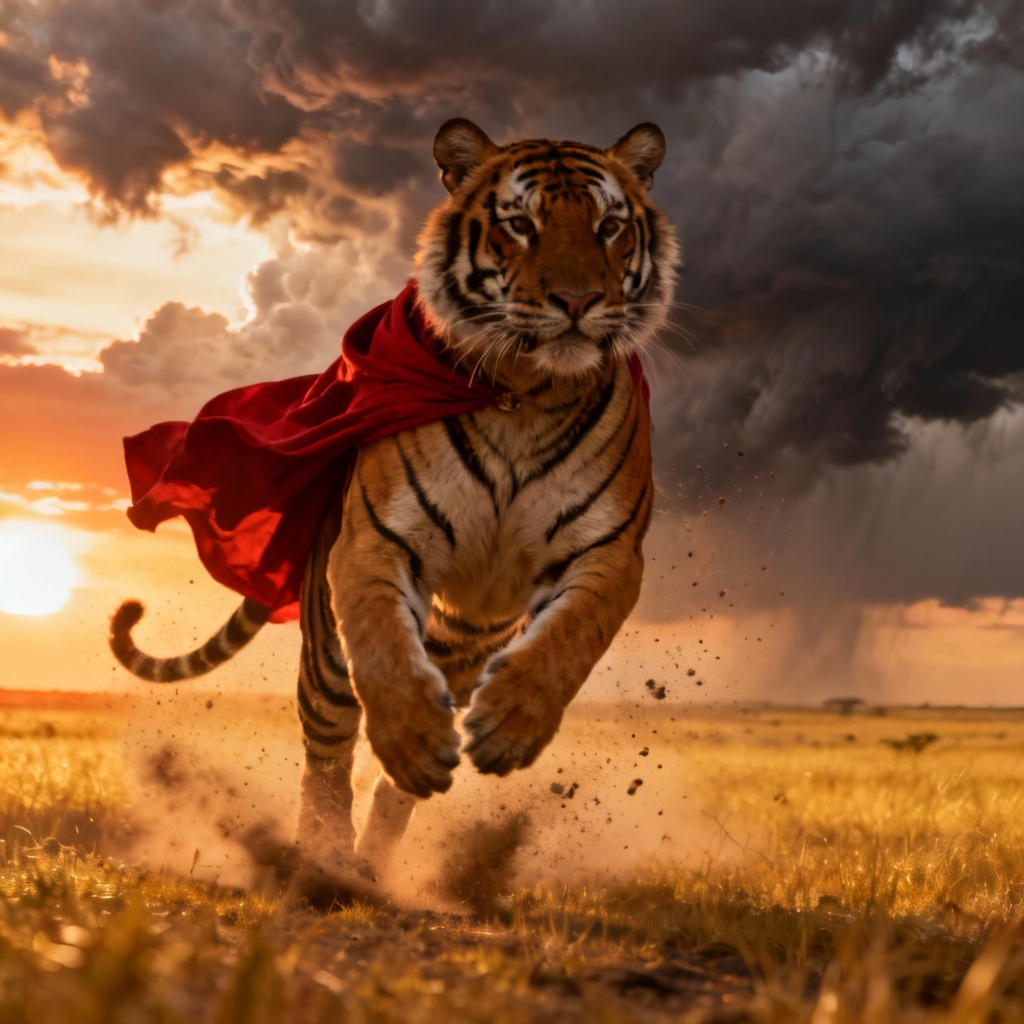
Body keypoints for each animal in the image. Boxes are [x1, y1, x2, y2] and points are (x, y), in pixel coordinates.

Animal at [110, 118, 679, 896]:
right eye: (520, 225)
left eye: (610, 226)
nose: (578, 301)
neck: (524, 393)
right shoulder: (376, 540)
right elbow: (380, 646)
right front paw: (410, 740)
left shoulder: (610, 551)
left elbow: (569, 638)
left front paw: (510, 726)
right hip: (326, 650)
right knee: (326, 757)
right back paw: (324, 867)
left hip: (463, 646)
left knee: (395, 786)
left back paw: (378, 860)